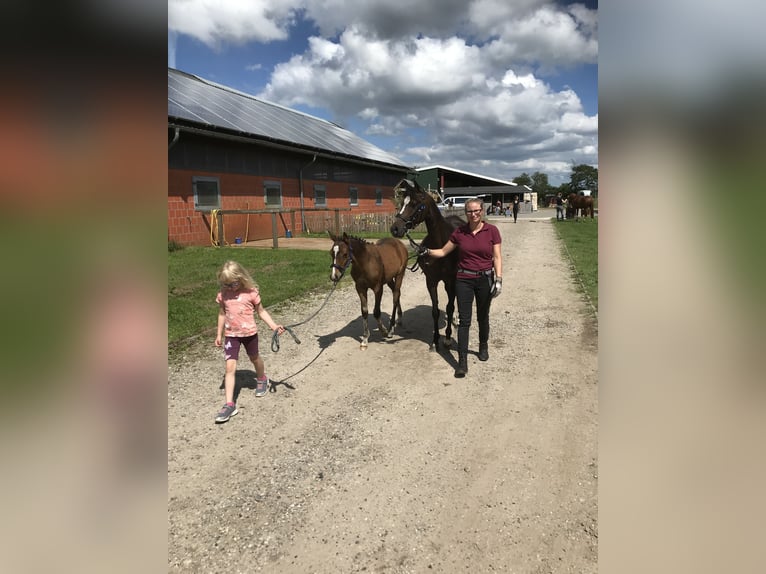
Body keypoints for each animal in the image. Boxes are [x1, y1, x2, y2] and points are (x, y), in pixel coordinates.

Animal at [390, 179, 462, 352]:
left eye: (415, 204)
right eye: (402, 202)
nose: (395, 229)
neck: (441, 245)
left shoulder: (450, 281)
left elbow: (449, 307)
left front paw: (447, 338)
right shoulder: (431, 281)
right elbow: (435, 311)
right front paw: (435, 341)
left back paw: (457, 319)